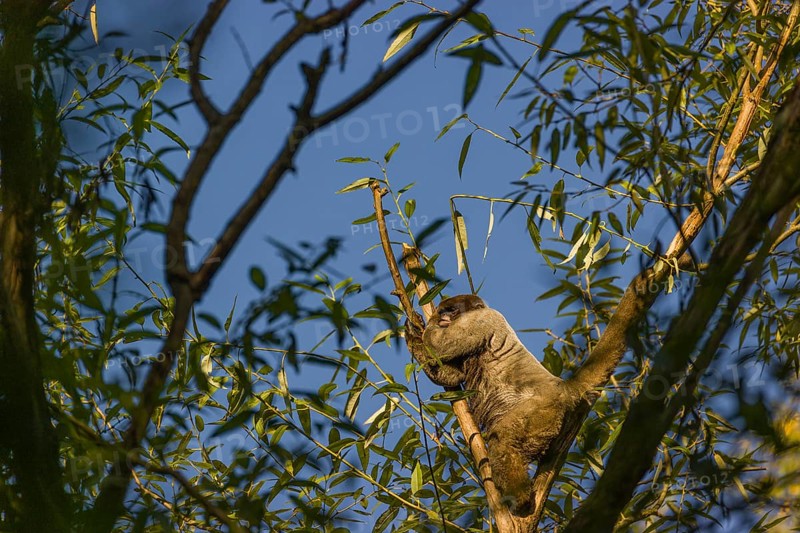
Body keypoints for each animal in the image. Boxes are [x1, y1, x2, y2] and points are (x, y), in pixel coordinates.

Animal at [407, 294, 583, 516]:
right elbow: (450, 374)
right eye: (443, 311)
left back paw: (520, 499)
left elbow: (441, 347)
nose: (443, 317)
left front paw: (418, 326)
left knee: (503, 439)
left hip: (543, 409)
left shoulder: (480, 321)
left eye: (452, 310)